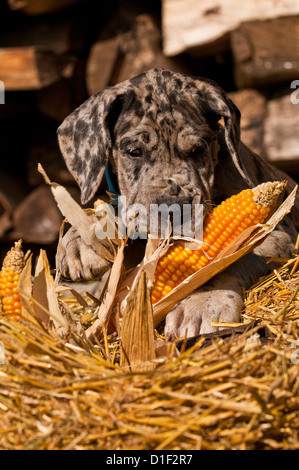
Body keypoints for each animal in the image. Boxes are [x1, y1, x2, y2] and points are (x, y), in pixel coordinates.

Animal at [56, 68, 299, 340]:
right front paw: (82, 238)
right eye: (134, 152)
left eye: (197, 149)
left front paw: (203, 303)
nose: (174, 209)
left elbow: (230, 260)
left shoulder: (279, 236)